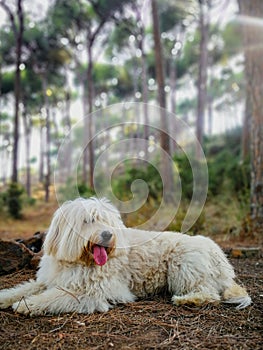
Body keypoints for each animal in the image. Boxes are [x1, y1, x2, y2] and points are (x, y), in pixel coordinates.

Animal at [0, 198, 253, 316]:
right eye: (88, 220)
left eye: (108, 221)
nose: (107, 234)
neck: (79, 261)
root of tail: (220, 256)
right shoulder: (49, 280)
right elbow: (24, 288)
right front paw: (8, 298)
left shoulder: (94, 292)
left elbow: (55, 297)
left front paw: (29, 305)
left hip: (185, 265)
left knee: (209, 294)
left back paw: (188, 300)